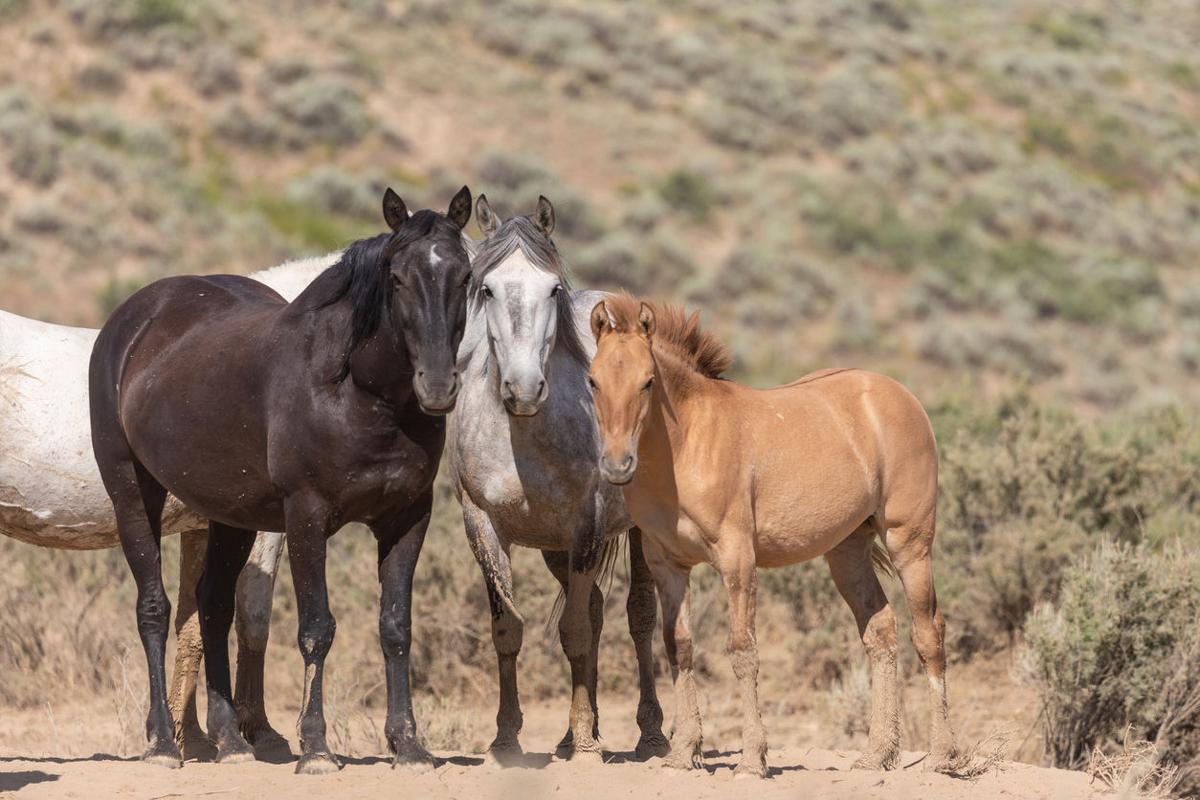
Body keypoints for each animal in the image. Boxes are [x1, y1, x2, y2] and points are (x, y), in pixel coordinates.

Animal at [0, 253, 336, 758]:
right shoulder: (265, 528)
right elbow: (251, 618)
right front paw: (256, 731)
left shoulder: (202, 526)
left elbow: (192, 622)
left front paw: (191, 734)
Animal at [88, 187, 474, 773]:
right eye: (397, 277)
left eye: (467, 276)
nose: (437, 385)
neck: (355, 392)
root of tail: (132, 317)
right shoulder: (306, 515)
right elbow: (316, 628)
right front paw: (315, 748)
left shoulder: (407, 518)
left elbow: (395, 626)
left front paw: (409, 746)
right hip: (132, 494)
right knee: (153, 610)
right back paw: (161, 743)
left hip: (231, 517)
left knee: (213, 608)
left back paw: (229, 741)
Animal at [446, 196, 667, 764]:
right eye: (485, 288)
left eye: (553, 289)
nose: (524, 389)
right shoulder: (482, 525)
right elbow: (508, 627)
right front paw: (506, 737)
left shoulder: (585, 525)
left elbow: (574, 632)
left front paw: (587, 741)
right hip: (554, 549)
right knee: (595, 607)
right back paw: (572, 734)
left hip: (638, 533)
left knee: (638, 617)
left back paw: (650, 733)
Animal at [584, 294, 957, 778]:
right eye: (593, 381)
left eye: (648, 382)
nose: (616, 465)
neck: (687, 444)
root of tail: (902, 395)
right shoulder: (668, 567)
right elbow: (678, 648)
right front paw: (684, 753)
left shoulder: (737, 560)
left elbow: (743, 651)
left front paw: (752, 759)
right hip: (848, 554)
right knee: (881, 632)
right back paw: (876, 755)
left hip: (909, 544)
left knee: (928, 634)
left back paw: (942, 755)